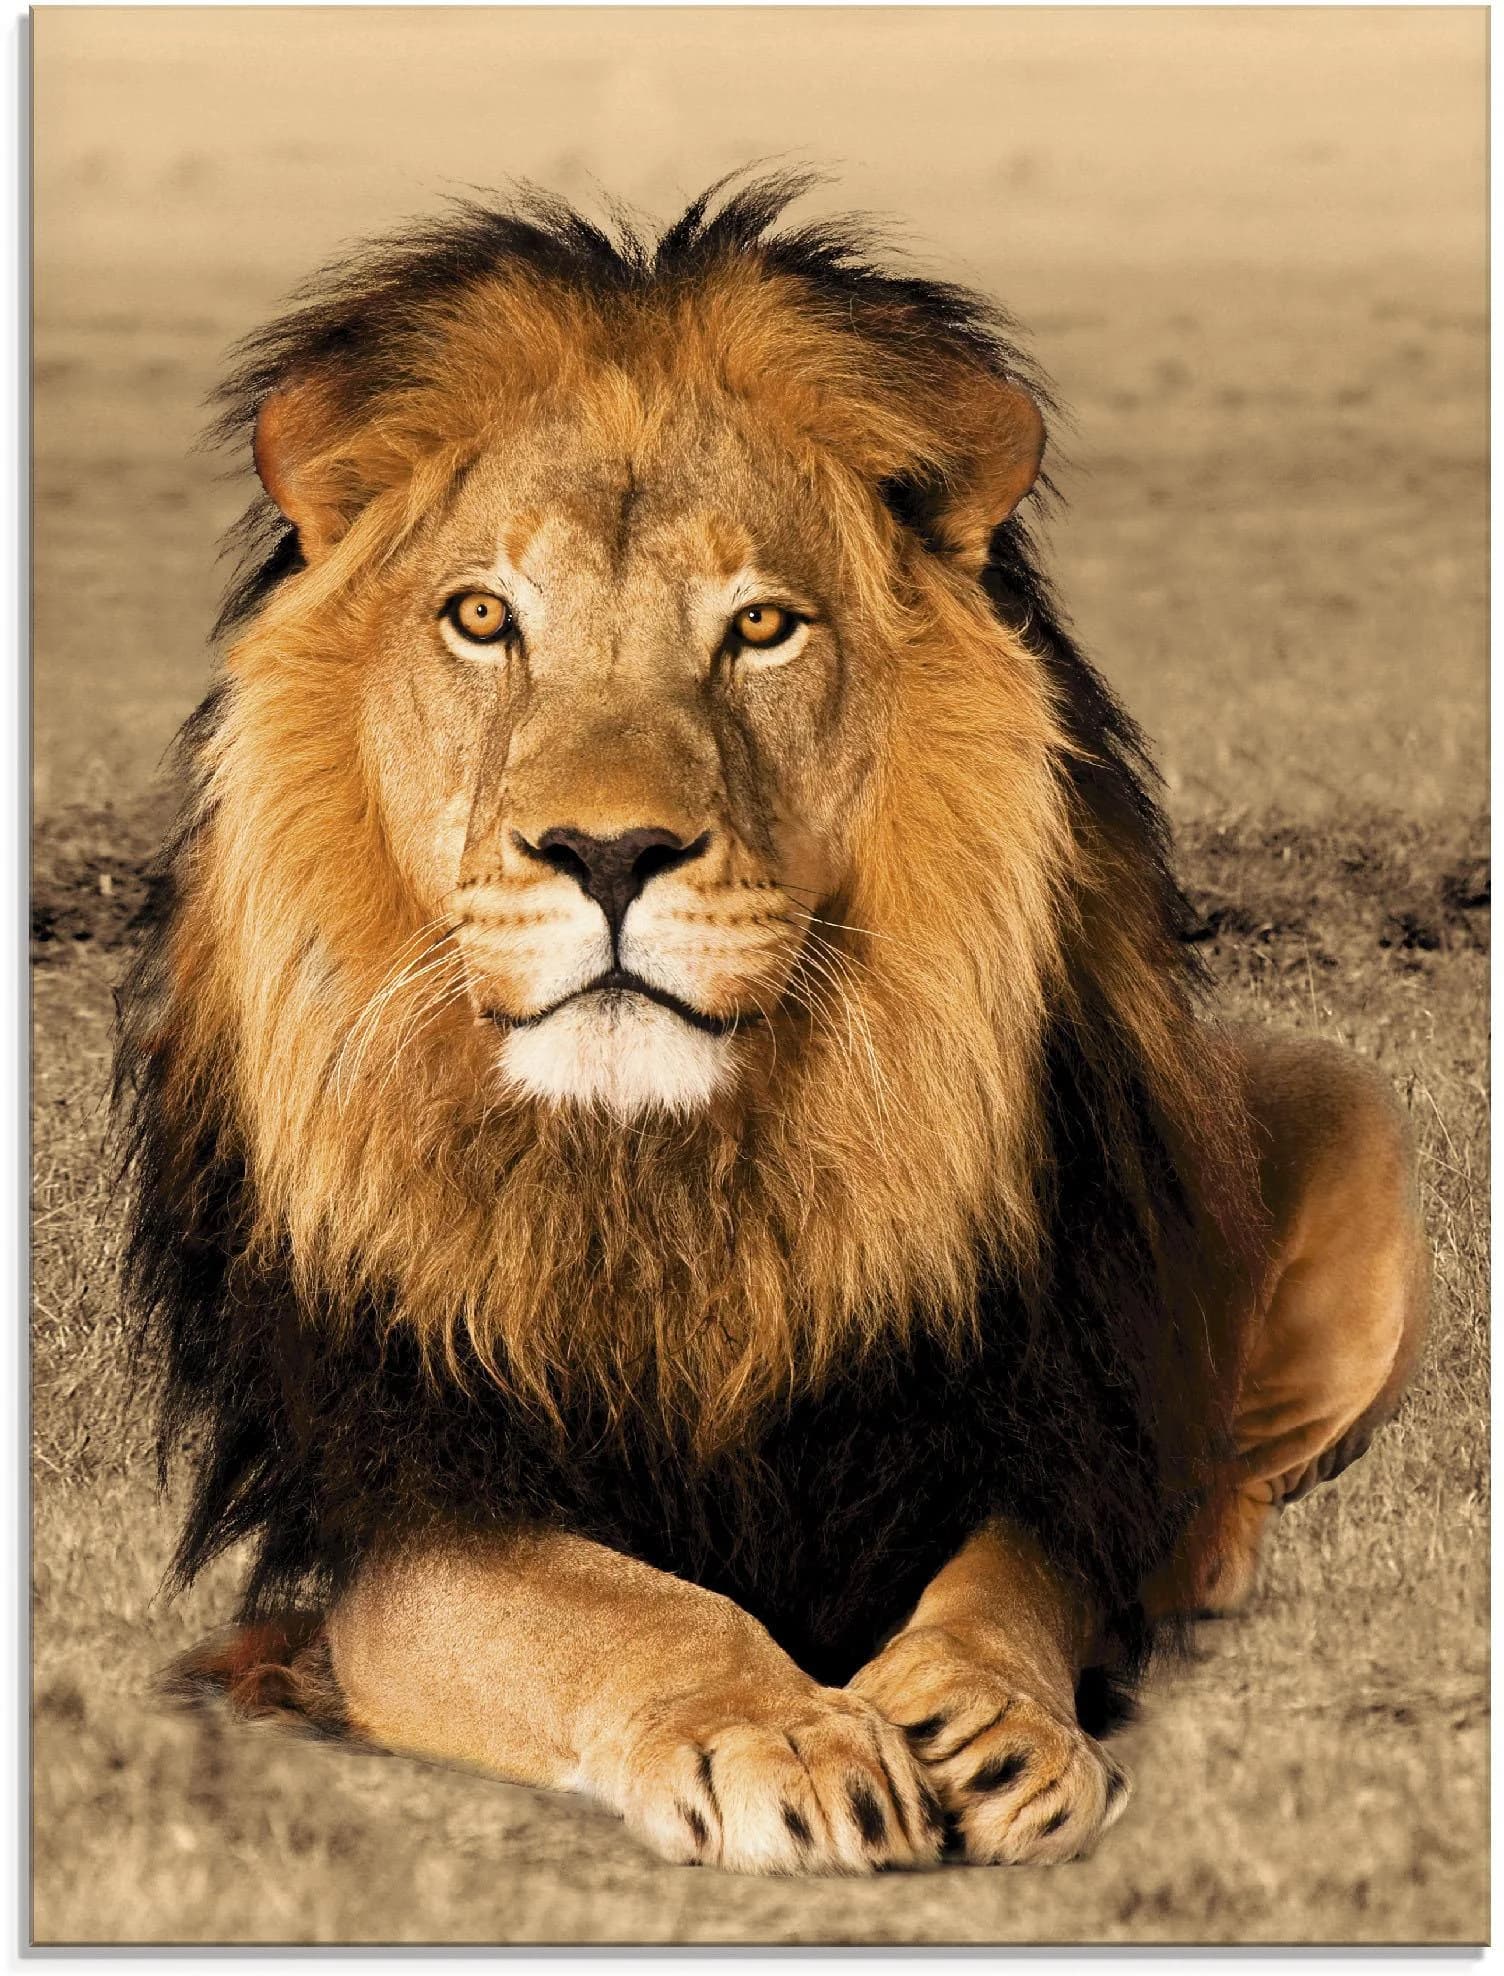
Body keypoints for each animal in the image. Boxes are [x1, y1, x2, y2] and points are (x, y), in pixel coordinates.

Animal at [115, 174, 1428, 1876]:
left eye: (760, 628)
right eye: (482, 617)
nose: (609, 852)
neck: (667, 1177)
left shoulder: (1022, 1417)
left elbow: (1015, 1577)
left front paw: (988, 1718)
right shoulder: (404, 1502)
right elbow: (612, 1606)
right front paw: (786, 1733)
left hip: (1349, 1115)